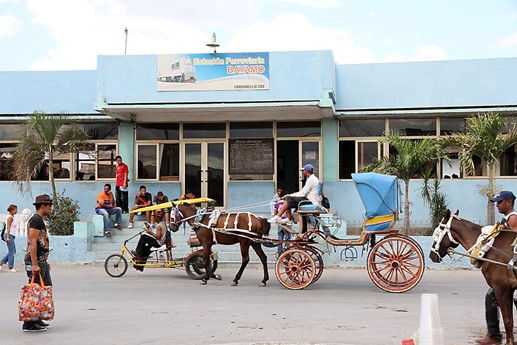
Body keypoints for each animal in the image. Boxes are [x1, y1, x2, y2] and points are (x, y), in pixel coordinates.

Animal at [430, 208, 517, 342]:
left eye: (437, 233)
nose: (431, 255)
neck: (489, 246)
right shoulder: (508, 290)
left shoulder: (501, 289)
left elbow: (508, 322)